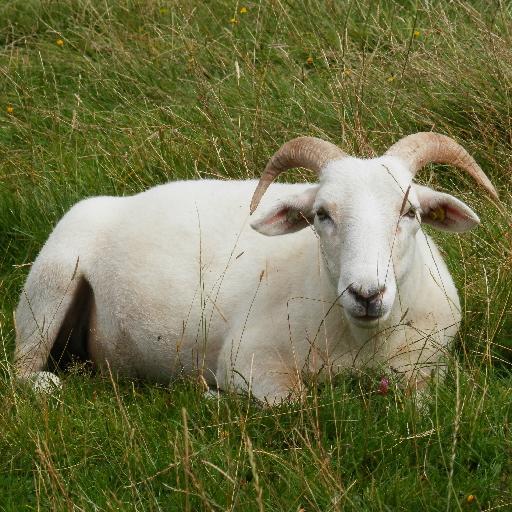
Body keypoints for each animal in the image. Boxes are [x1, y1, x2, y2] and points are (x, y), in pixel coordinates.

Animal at [13, 131, 500, 400]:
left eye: (410, 212)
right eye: (321, 214)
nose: (367, 294)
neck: (363, 341)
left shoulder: (427, 367)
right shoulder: (248, 358)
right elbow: (297, 402)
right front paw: (216, 397)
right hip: (49, 288)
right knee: (22, 373)